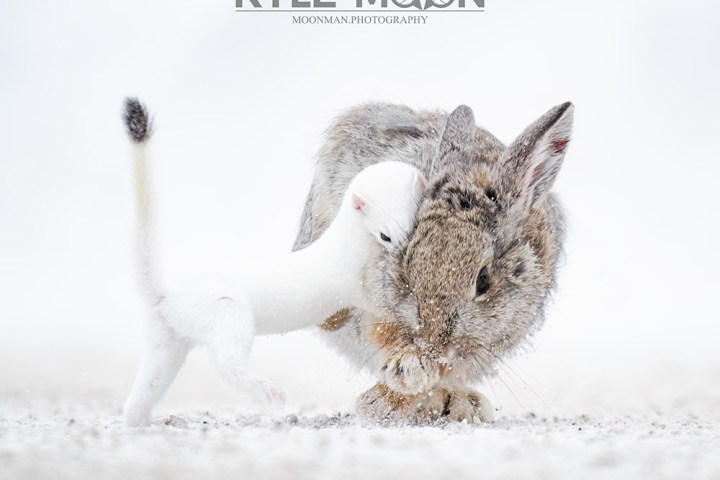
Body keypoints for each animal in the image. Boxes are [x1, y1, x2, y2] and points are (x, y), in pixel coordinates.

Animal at [121, 98, 427, 426]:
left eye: (413, 222)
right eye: (385, 234)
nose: (402, 250)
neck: (348, 240)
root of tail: (165, 292)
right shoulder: (353, 279)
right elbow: (375, 303)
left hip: (166, 339)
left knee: (148, 385)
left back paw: (143, 419)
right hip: (228, 311)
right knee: (226, 365)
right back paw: (269, 390)